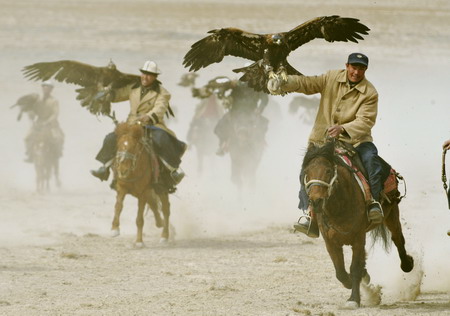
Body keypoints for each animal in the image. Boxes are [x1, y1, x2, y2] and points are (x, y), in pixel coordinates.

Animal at [300, 141, 414, 308]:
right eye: (307, 172)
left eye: (328, 171)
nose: (316, 202)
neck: (340, 206)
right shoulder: (330, 242)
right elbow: (340, 271)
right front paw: (351, 284)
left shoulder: (358, 238)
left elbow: (354, 268)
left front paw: (353, 299)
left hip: (391, 212)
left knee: (398, 238)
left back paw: (407, 264)